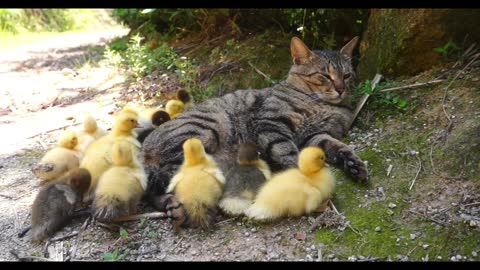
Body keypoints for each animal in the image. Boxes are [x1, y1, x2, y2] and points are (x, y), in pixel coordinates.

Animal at [142, 35, 368, 205]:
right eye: (325, 76)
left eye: (347, 75)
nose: (341, 89)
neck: (323, 105)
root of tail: (145, 145)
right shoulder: (271, 124)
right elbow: (288, 152)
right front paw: (304, 177)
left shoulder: (315, 135)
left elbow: (337, 146)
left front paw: (353, 163)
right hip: (208, 128)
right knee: (160, 179)